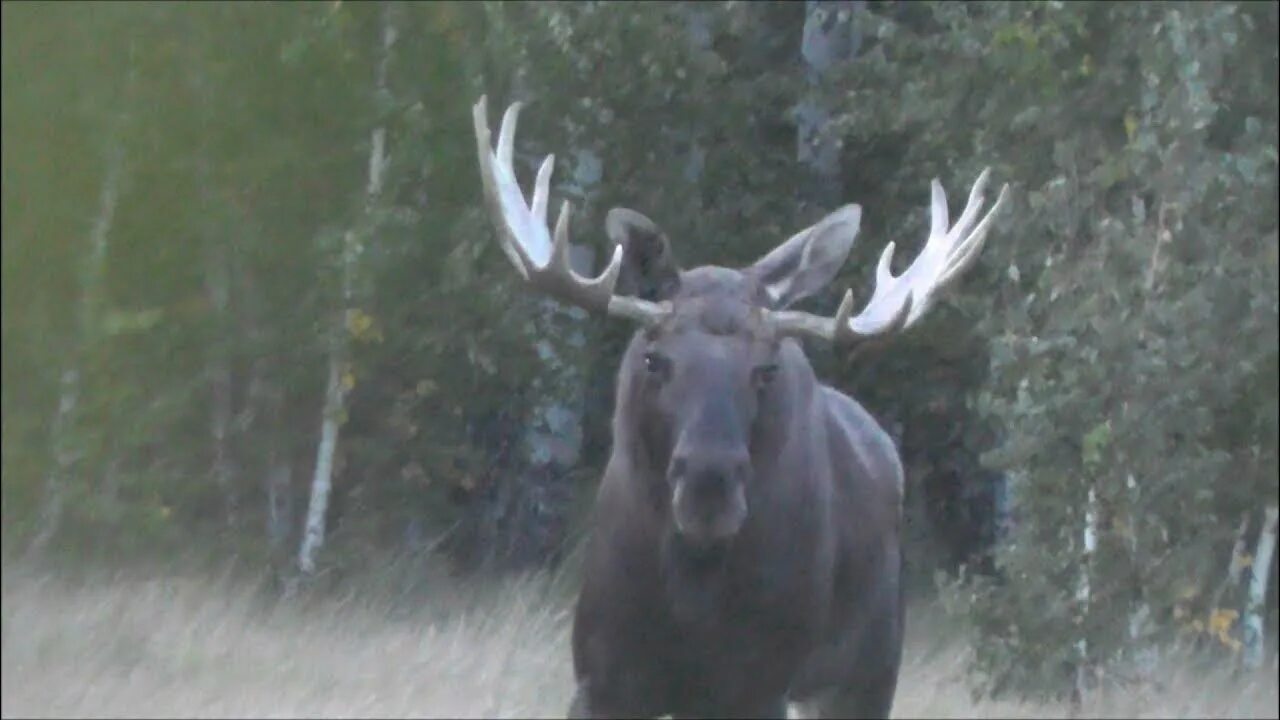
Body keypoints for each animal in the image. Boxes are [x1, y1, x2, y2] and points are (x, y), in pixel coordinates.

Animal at [471, 96, 1008, 717]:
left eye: (766, 369)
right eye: (655, 359)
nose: (709, 484)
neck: (689, 595)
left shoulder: (757, 684)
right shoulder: (601, 678)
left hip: (869, 668)